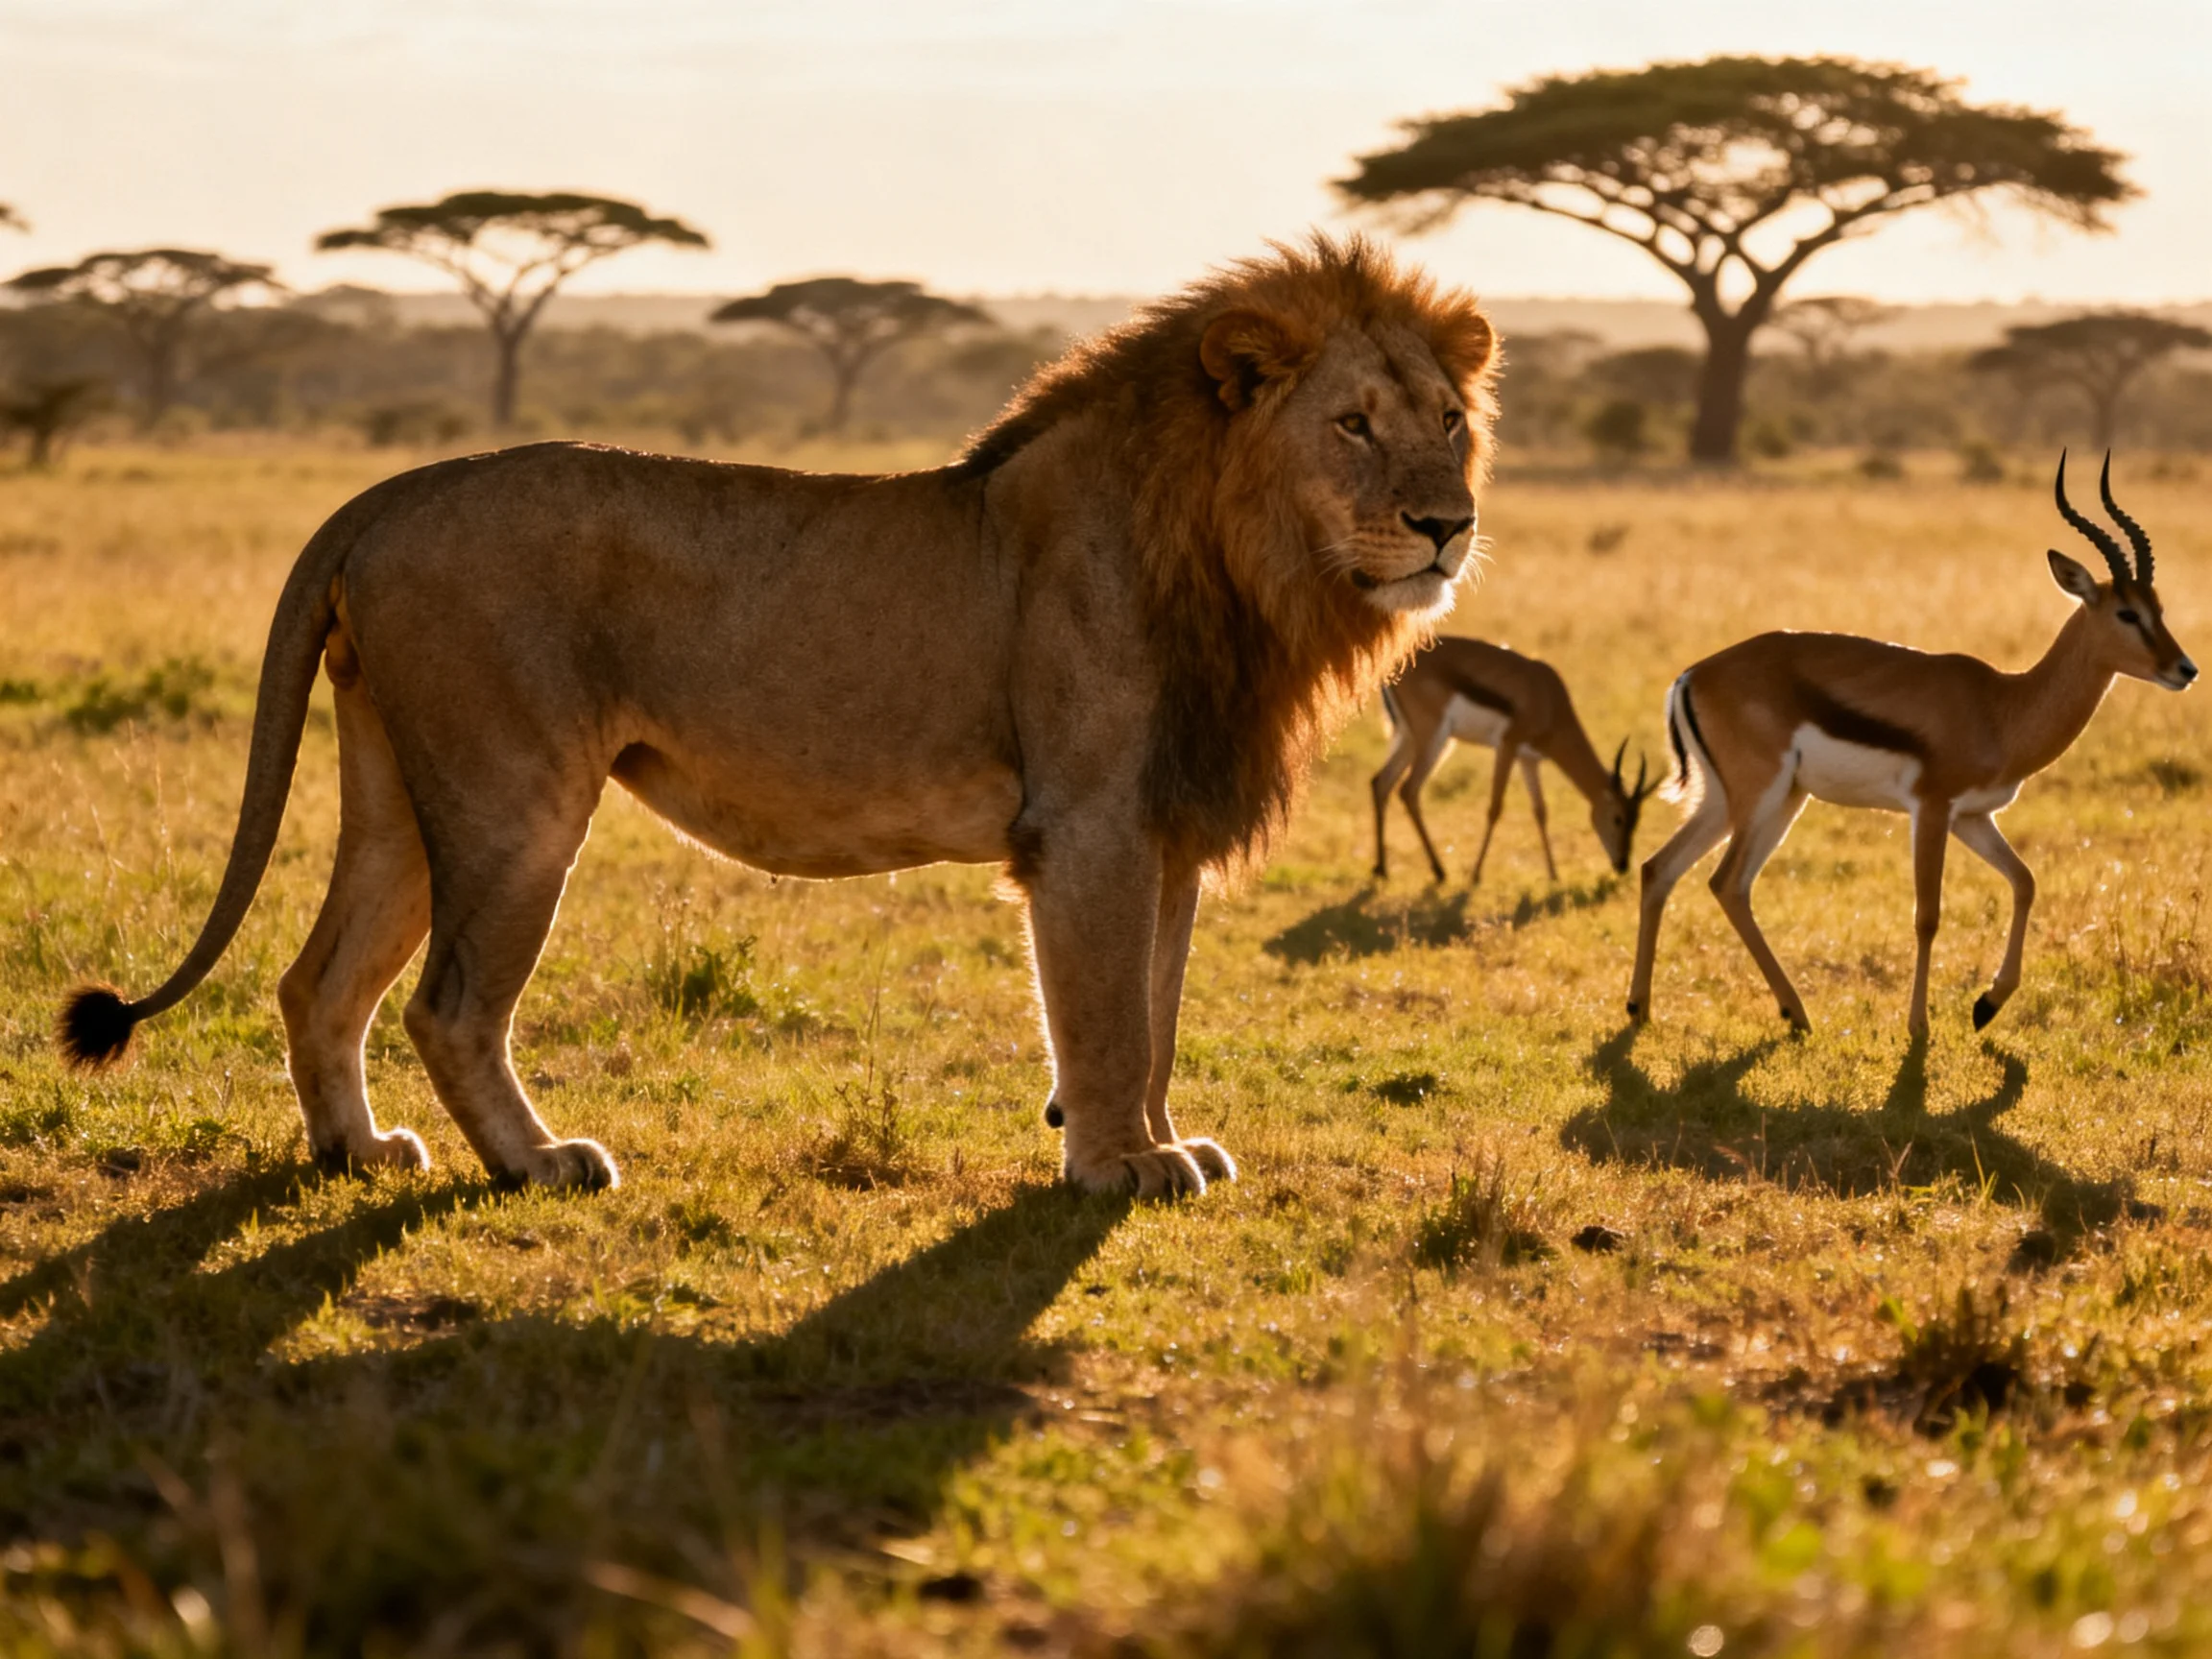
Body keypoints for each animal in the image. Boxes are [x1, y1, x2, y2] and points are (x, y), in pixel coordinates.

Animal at [59, 235, 1498, 1197]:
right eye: (1353, 425)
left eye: (1447, 420)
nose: (1448, 523)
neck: (1244, 566)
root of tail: (396, 489)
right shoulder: (1088, 824)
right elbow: (1108, 1015)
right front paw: (1114, 1169)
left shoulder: (1167, 826)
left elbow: (1158, 1008)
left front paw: (1154, 1141)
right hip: (516, 796)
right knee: (448, 1005)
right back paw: (542, 1162)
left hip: (399, 791)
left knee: (319, 979)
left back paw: (356, 1151)